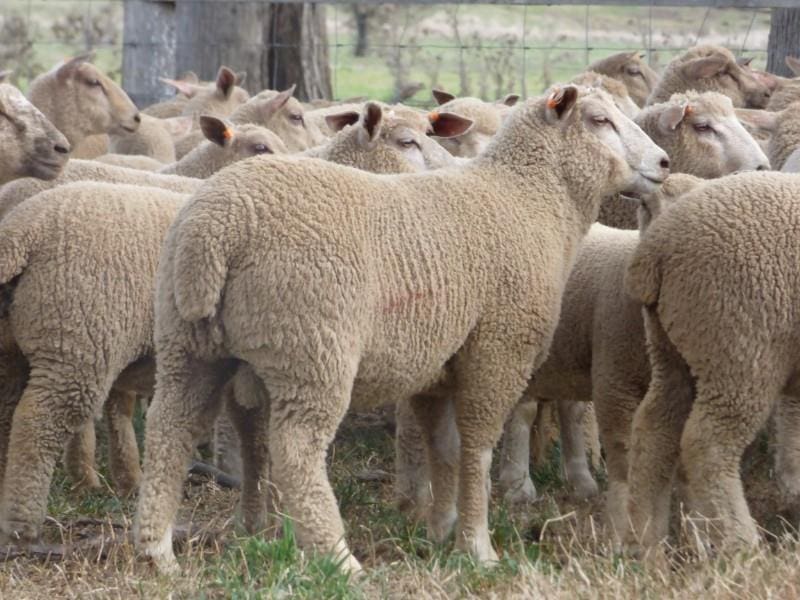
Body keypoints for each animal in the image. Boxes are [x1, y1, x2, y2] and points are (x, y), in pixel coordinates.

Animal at [0, 183, 188, 543]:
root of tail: (24, 229)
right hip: (79, 340)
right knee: (36, 423)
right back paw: (22, 524)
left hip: (14, 349)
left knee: (7, 416)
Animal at [133, 85, 669, 573]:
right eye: (599, 120)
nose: (664, 163)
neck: (528, 202)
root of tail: (216, 228)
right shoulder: (498, 351)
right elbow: (477, 449)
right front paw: (478, 547)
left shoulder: (439, 368)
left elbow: (445, 449)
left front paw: (442, 529)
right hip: (312, 349)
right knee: (297, 451)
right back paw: (339, 559)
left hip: (190, 342)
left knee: (168, 429)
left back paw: (159, 551)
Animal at [623, 171, 800, 553]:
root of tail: (657, 246)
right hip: (740, 347)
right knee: (708, 445)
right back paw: (741, 545)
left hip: (675, 348)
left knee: (653, 429)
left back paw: (645, 545)